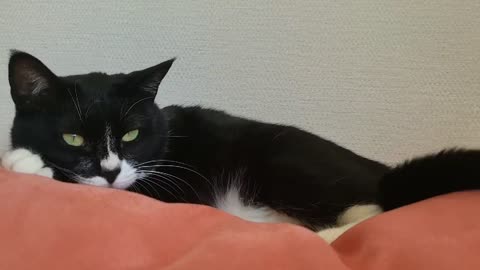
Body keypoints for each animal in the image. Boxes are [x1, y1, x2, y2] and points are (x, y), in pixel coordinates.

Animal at [3, 50, 480, 243]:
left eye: (132, 136)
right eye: (73, 137)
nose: (110, 170)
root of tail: (381, 169)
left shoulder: (169, 187)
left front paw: (23, 162)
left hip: (286, 160)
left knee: (371, 209)